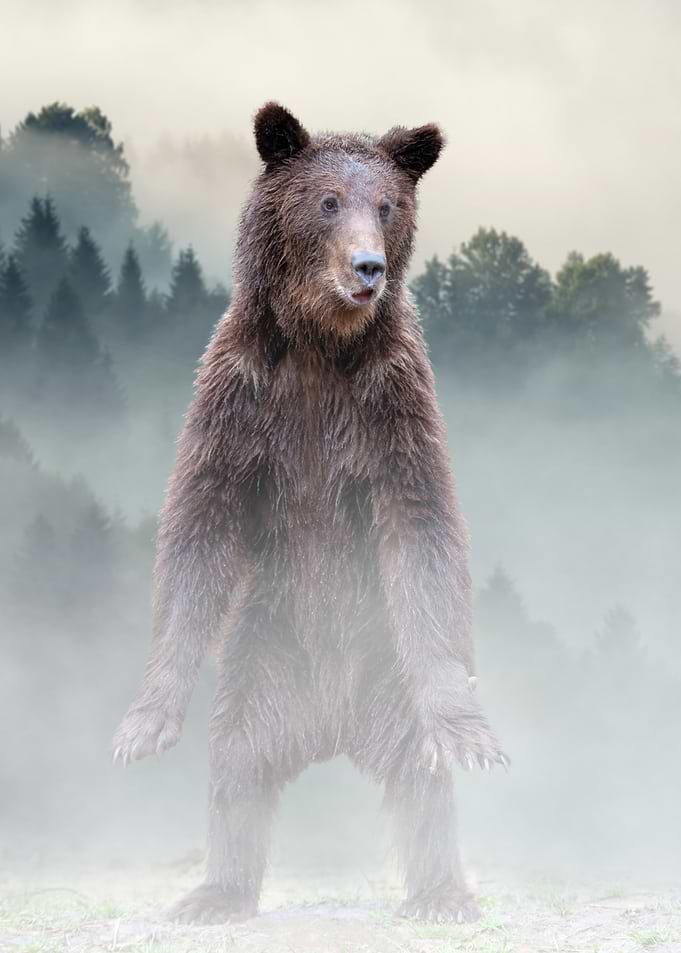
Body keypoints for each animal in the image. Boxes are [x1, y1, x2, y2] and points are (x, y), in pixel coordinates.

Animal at [112, 102, 507, 925]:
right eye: (327, 200)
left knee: (422, 776)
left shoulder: (391, 408)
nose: (368, 267)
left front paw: (471, 733)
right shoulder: (241, 401)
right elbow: (198, 529)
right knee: (235, 766)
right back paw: (215, 892)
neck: (323, 346)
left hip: (387, 660)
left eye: (385, 205)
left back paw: (441, 892)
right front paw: (144, 724)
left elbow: (423, 528)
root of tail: (331, 727)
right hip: (263, 654)